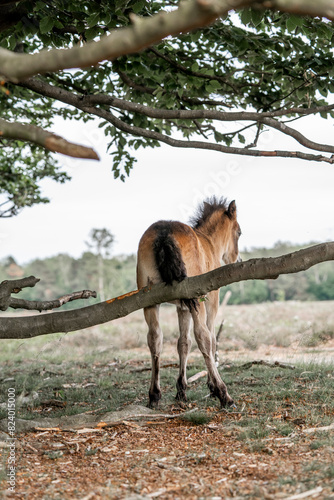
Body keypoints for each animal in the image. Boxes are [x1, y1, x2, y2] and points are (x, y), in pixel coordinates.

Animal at [136, 195, 240, 406]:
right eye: (239, 232)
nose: (235, 258)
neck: (209, 243)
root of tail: (165, 232)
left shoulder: (182, 307)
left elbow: (183, 342)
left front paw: (181, 390)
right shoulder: (212, 300)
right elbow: (211, 339)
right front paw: (211, 386)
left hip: (150, 301)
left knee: (155, 338)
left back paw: (154, 395)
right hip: (196, 298)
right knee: (203, 336)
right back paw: (224, 394)